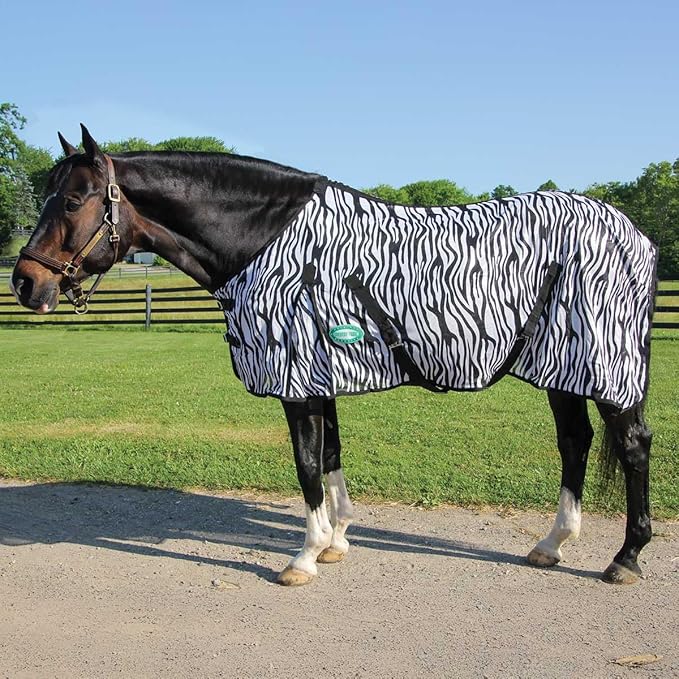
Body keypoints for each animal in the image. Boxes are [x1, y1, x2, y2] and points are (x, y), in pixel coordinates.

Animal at [11, 125, 657, 587]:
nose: (24, 283)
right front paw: (339, 540)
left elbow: (305, 464)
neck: (266, 242)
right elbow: (330, 456)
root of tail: (635, 235)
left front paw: (305, 555)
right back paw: (551, 545)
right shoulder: (319, 378)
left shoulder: (296, 381)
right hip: (562, 370)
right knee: (575, 442)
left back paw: (625, 558)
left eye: (73, 200)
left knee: (631, 447)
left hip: (606, 371)